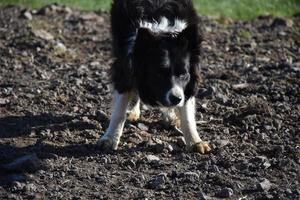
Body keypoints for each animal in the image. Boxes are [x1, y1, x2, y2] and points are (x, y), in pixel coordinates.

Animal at [97, 0, 210, 153]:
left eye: (183, 74)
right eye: (159, 74)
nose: (176, 99)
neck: (162, 33)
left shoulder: (190, 79)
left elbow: (187, 112)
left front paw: (195, 141)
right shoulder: (125, 65)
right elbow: (119, 108)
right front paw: (109, 139)